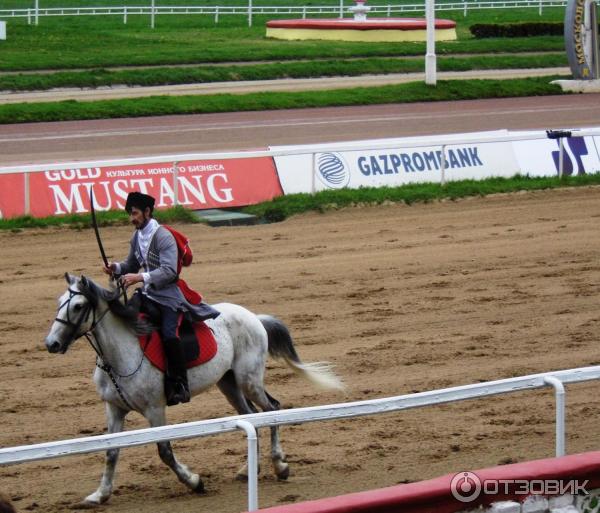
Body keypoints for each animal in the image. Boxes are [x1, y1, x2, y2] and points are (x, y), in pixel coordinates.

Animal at [43, 274, 342, 506]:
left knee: (271, 409)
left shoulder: (155, 409)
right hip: (229, 384)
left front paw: (194, 481)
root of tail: (253, 317)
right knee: (252, 417)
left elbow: (164, 451)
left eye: (78, 306)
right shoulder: (114, 408)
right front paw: (100, 494)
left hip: (249, 381)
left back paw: (280, 465)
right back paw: (249, 469)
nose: (51, 344)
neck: (121, 354)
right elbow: (111, 452)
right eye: (59, 303)